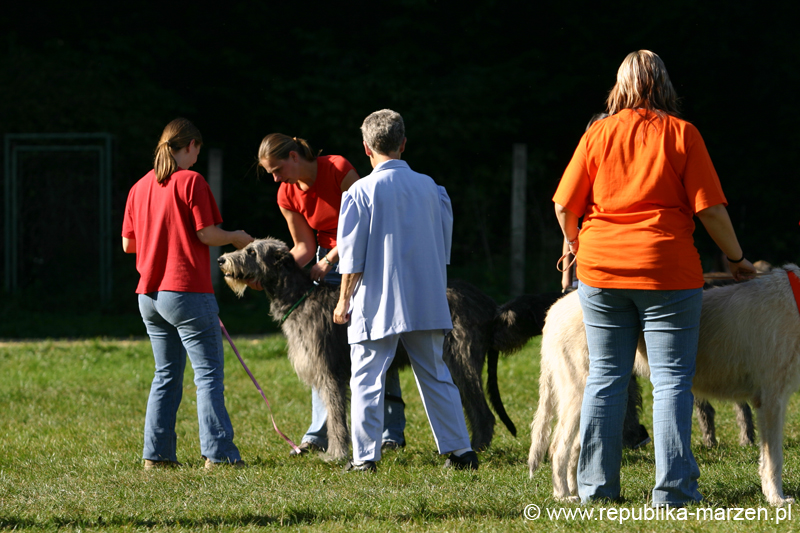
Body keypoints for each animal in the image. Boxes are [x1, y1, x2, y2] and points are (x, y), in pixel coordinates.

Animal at [216, 237, 536, 458]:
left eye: (252, 252)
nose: (220, 260)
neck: (299, 296)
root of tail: (488, 304)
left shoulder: (330, 371)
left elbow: (336, 416)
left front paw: (336, 455)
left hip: (460, 360)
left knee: (484, 412)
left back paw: (476, 448)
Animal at [330, 107, 476, 470]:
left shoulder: (352, 207)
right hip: (429, 335)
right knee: (440, 384)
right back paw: (463, 456)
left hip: (370, 342)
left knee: (367, 382)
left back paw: (363, 462)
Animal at [532, 264, 800, 504]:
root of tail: (553, 310)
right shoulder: (771, 399)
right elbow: (774, 457)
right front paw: (777, 498)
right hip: (578, 392)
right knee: (557, 448)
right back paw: (563, 496)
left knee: (577, 449)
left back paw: (579, 492)